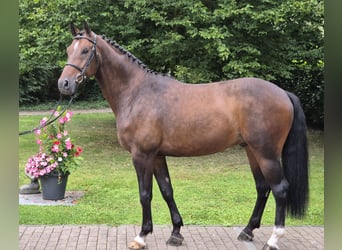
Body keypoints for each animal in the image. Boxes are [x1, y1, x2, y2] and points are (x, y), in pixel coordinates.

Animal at [57, 22, 308, 249]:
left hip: (266, 154)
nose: (64, 84)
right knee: (263, 188)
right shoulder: (157, 156)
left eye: (85, 50)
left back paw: (273, 240)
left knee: (280, 189)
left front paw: (141, 236)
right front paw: (176, 232)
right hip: (251, 150)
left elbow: (145, 194)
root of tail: (282, 93)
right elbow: (166, 191)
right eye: (69, 50)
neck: (137, 93)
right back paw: (247, 231)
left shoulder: (142, 156)